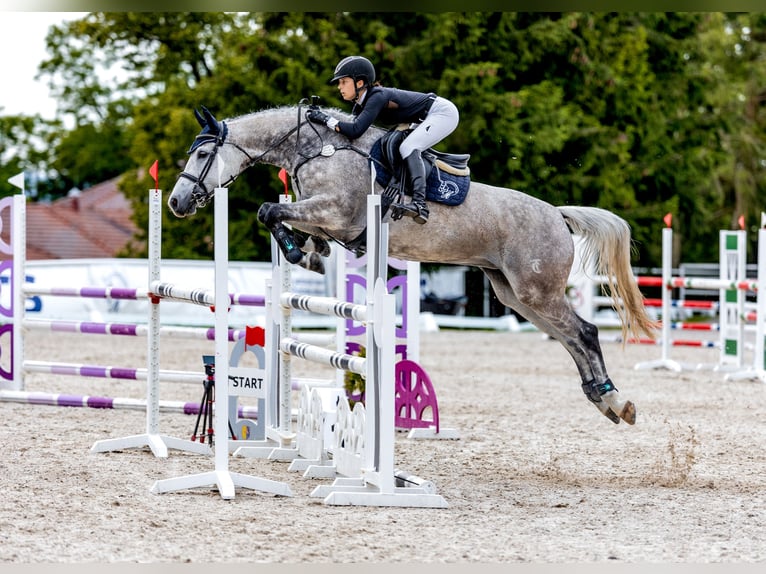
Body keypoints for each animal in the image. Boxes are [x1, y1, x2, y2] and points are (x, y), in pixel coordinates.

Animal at [168, 103, 657, 426]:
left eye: (201, 155)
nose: (175, 202)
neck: (317, 148)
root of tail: (557, 213)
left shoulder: (335, 212)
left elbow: (269, 210)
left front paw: (296, 251)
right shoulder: (326, 219)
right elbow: (285, 221)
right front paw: (307, 253)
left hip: (537, 290)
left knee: (585, 332)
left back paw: (616, 401)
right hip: (514, 294)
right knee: (569, 338)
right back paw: (603, 399)